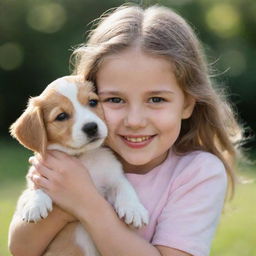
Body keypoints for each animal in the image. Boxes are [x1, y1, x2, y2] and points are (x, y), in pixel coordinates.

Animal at [10, 76, 149, 256]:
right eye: (61, 116)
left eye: (93, 102)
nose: (91, 127)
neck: (83, 157)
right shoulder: (36, 176)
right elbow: (32, 190)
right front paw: (35, 204)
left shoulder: (114, 177)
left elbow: (125, 187)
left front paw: (134, 209)